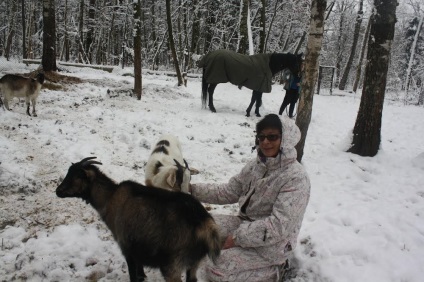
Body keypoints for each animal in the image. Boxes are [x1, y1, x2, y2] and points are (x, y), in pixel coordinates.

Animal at [56, 156, 222, 282]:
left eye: (76, 176)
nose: (58, 191)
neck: (110, 198)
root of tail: (205, 224)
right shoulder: (138, 247)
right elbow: (140, 273)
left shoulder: (126, 246)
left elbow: (133, 275)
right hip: (194, 262)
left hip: (172, 264)